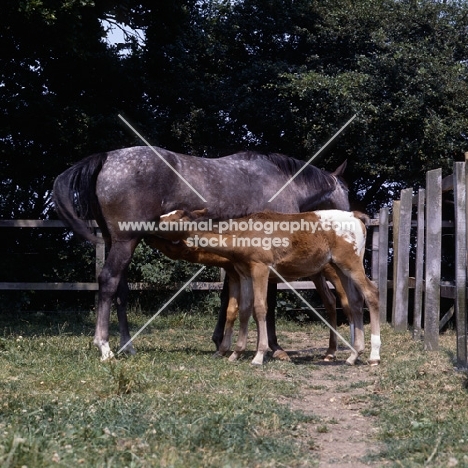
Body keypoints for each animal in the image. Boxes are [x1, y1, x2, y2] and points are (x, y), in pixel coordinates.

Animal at [53, 146, 350, 358]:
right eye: (346, 189)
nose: (349, 217)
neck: (282, 182)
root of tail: (106, 158)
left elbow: (228, 297)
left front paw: (222, 342)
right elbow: (269, 301)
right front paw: (275, 348)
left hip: (117, 241)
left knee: (120, 291)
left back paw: (128, 346)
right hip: (126, 242)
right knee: (107, 282)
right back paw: (104, 346)